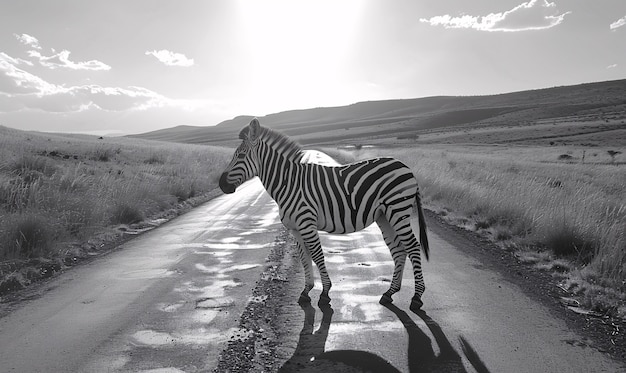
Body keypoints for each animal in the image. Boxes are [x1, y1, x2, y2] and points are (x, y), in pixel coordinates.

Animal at [219, 119, 428, 310]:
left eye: (241, 155)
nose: (221, 184)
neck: (289, 183)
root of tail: (406, 166)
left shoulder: (307, 224)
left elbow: (318, 256)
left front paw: (325, 293)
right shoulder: (295, 229)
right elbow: (305, 258)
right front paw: (306, 291)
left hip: (398, 209)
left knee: (413, 246)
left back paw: (417, 297)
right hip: (385, 216)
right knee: (399, 250)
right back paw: (389, 293)